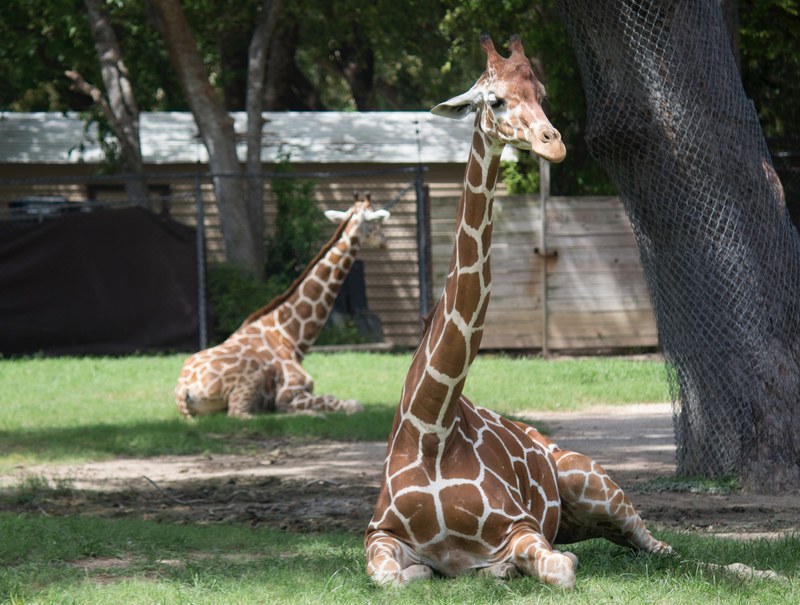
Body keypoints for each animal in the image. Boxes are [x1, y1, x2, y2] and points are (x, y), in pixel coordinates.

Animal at [175, 192, 389, 418]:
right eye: (376, 222)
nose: (384, 242)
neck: (292, 336)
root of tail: (183, 389)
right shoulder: (289, 392)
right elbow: (350, 404)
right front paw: (316, 412)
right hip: (251, 375)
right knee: (242, 414)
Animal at [365, 35, 670, 589]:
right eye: (496, 100)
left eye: (542, 93)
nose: (554, 143)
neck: (432, 429)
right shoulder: (379, 533)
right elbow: (392, 576)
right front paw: (430, 571)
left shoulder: (522, 526)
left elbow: (561, 568)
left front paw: (501, 569)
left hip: (590, 480)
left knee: (656, 543)